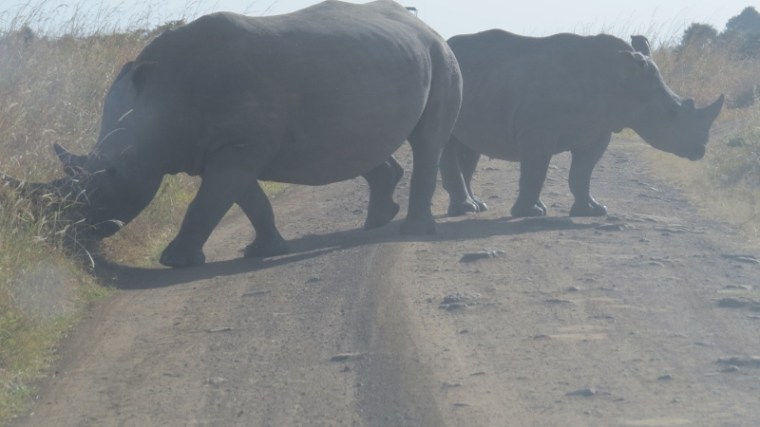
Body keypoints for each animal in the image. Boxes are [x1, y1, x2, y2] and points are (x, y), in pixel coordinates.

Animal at [1, 0, 462, 267]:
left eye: (110, 175)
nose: (69, 237)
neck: (162, 101)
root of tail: (424, 27)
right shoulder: (225, 149)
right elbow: (248, 200)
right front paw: (264, 251)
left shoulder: (236, 148)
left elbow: (210, 203)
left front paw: (175, 262)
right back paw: (375, 221)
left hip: (442, 55)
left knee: (427, 141)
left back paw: (413, 231)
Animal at [440, 30, 724, 218]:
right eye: (670, 115)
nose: (700, 150)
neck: (622, 79)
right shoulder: (538, 131)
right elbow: (535, 171)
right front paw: (531, 213)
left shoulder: (597, 130)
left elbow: (582, 172)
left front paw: (593, 210)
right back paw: (466, 209)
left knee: (469, 145)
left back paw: (476, 206)